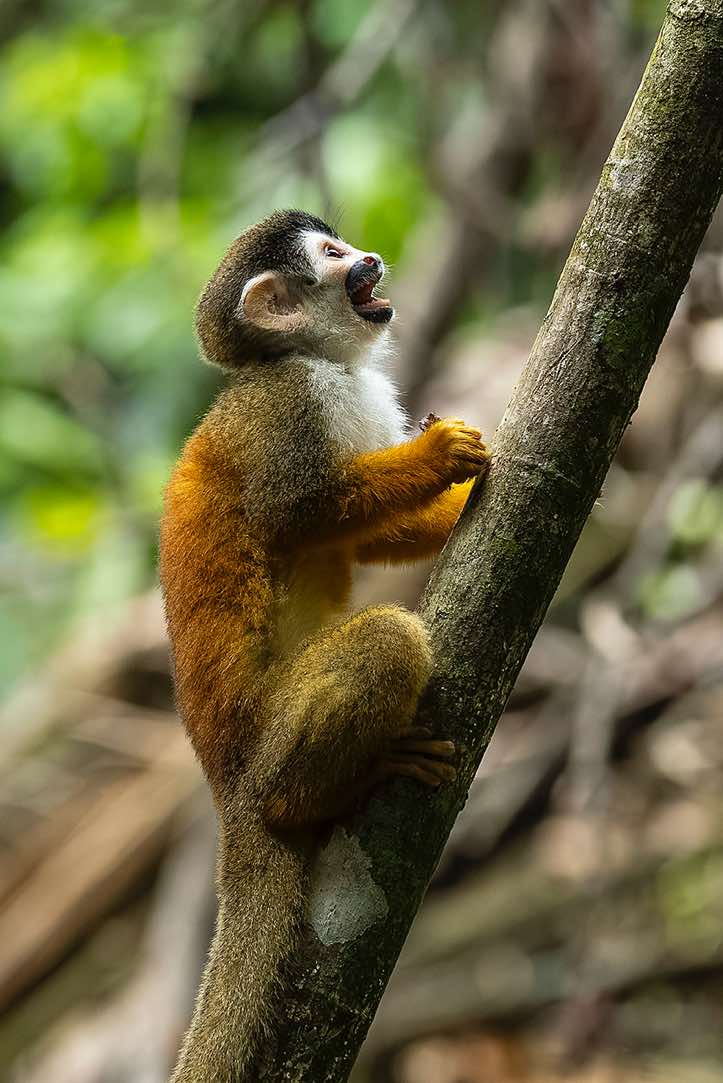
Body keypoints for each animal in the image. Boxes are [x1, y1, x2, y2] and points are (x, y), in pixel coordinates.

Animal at [159, 209, 490, 1081]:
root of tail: (227, 790)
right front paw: (437, 456)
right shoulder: (287, 406)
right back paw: (327, 790)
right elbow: (298, 511)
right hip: (269, 740)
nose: (370, 256)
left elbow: (365, 540)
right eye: (334, 257)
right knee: (385, 636)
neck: (309, 359)